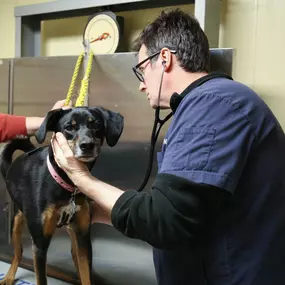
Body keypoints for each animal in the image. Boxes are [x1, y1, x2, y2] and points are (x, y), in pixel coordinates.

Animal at [0, 106, 124, 284]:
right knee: (18, 252)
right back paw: (9, 276)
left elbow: (86, 275)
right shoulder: (40, 244)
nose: (87, 145)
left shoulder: (83, 238)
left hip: (73, 234)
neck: (66, 184)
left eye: (96, 125)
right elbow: (41, 278)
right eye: (69, 127)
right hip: (17, 220)